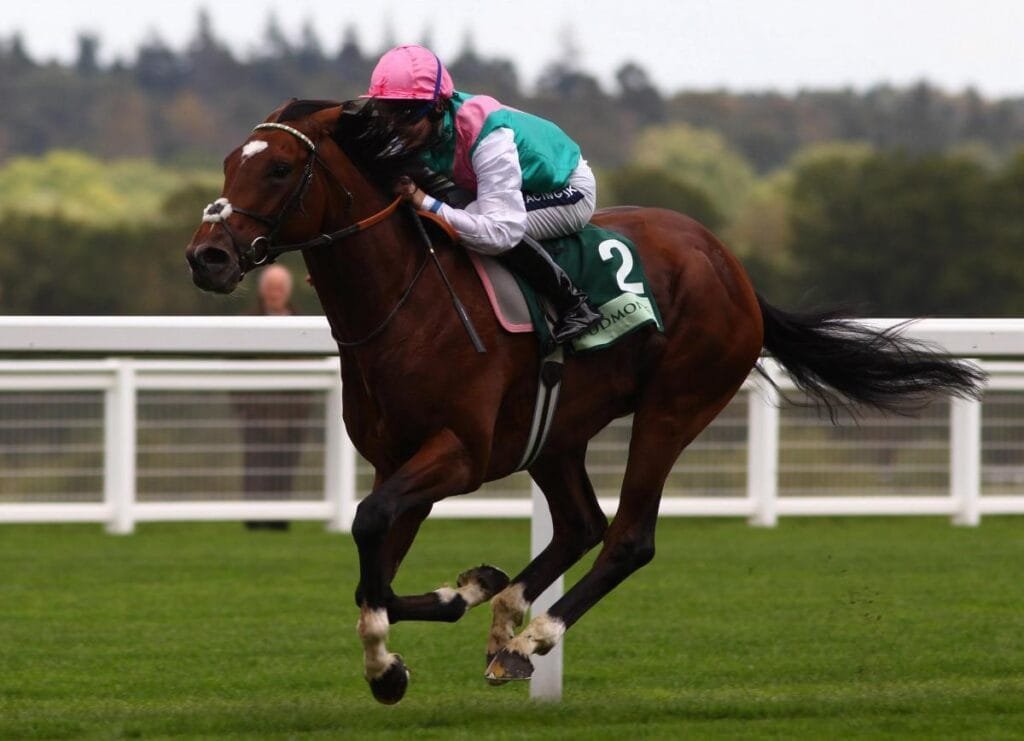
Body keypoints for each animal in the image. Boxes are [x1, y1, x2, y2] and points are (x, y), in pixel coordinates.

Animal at [184, 99, 984, 704]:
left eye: (278, 167)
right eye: (228, 162)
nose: (207, 257)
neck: (405, 303)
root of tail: (733, 269)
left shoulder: (460, 453)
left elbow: (369, 528)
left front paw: (412, 644)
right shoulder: (396, 460)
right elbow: (370, 568)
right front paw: (440, 614)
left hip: (675, 405)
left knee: (627, 536)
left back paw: (532, 636)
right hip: (557, 431)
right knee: (580, 524)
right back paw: (506, 610)